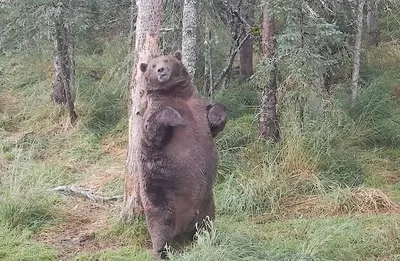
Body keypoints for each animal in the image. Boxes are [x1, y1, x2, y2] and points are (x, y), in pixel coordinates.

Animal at [138, 50, 225, 258]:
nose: (161, 70)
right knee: (161, 226)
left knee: (208, 222)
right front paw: (177, 118)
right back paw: (162, 252)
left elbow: (214, 112)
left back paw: (209, 237)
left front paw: (216, 117)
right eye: (152, 65)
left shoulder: (197, 105)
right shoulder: (154, 114)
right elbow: (152, 129)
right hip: (161, 196)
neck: (175, 93)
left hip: (207, 202)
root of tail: (183, 231)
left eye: (167, 60)